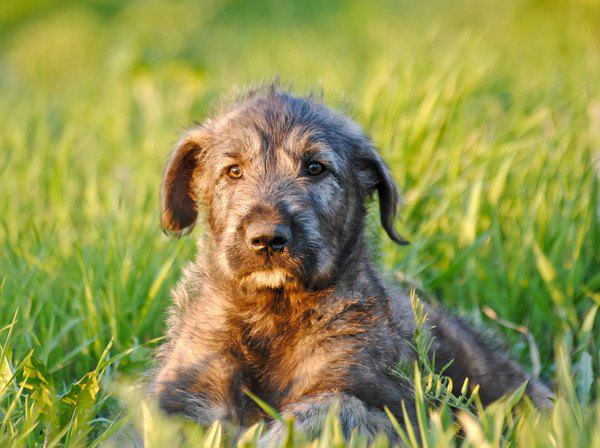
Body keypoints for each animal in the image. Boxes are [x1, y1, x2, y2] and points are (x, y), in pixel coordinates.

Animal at [150, 83, 552, 444]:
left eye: (315, 167)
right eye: (233, 171)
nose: (267, 239)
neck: (272, 312)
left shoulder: (391, 406)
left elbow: (330, 408)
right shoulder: (183, 388)